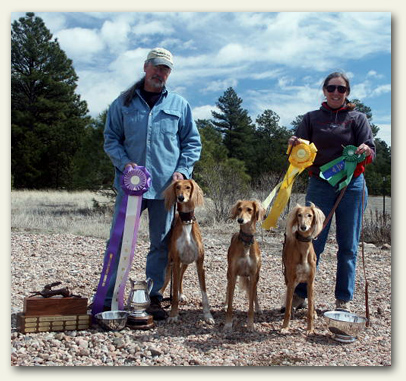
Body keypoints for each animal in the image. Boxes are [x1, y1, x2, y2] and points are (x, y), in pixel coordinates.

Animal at [161, 180, 214, 322]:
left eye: (188, 187)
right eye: (177, 187)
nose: (181, 198)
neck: (187, 221)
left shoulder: (200, 264)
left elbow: (204, 293)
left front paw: (208, 315)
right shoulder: (176, 260)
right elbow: (173, 292)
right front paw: (173, 314)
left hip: (185, 263)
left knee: (180, 277)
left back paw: (181, 295)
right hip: (171, 263)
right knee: (166, 282)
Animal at [224, 199, 264, 330]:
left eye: (249, 209)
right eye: (239, 209)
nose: (240, 220)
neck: (246, 243)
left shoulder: (253, 275)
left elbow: (250, 304)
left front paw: (250, 324)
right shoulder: (233, 274)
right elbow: (230, 304)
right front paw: (228, 323)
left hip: (256, 277)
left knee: (255, 292)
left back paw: (258, 308)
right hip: (229, 273)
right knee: (227, 288)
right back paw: (224, 303)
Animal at [280, 202, 326, 332]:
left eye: (310, 215)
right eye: (299, 215)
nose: (303, 227)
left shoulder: (310, 282)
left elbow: (309, 308)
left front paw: (310, 329)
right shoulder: (291, 281)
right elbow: (288, 308)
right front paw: (285, 327)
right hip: (288, 278)